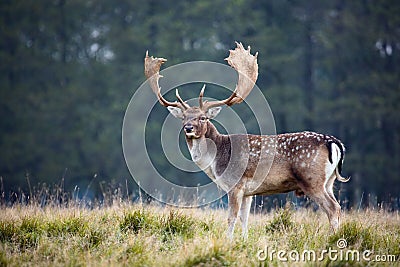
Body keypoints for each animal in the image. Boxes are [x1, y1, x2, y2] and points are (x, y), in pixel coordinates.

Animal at [145, 42, 350, 241]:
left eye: (203, 118)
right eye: (184, 117)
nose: (188, 128)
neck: (216, 161)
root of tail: (334, 143)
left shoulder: (235, 184)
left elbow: (231, 217)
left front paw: (228, 241)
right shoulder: (248, 192)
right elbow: (245, 217)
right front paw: (243, 240)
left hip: (312, 179)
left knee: (333, 208)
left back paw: (332, 239)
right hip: (329, 181)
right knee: (337, 207)